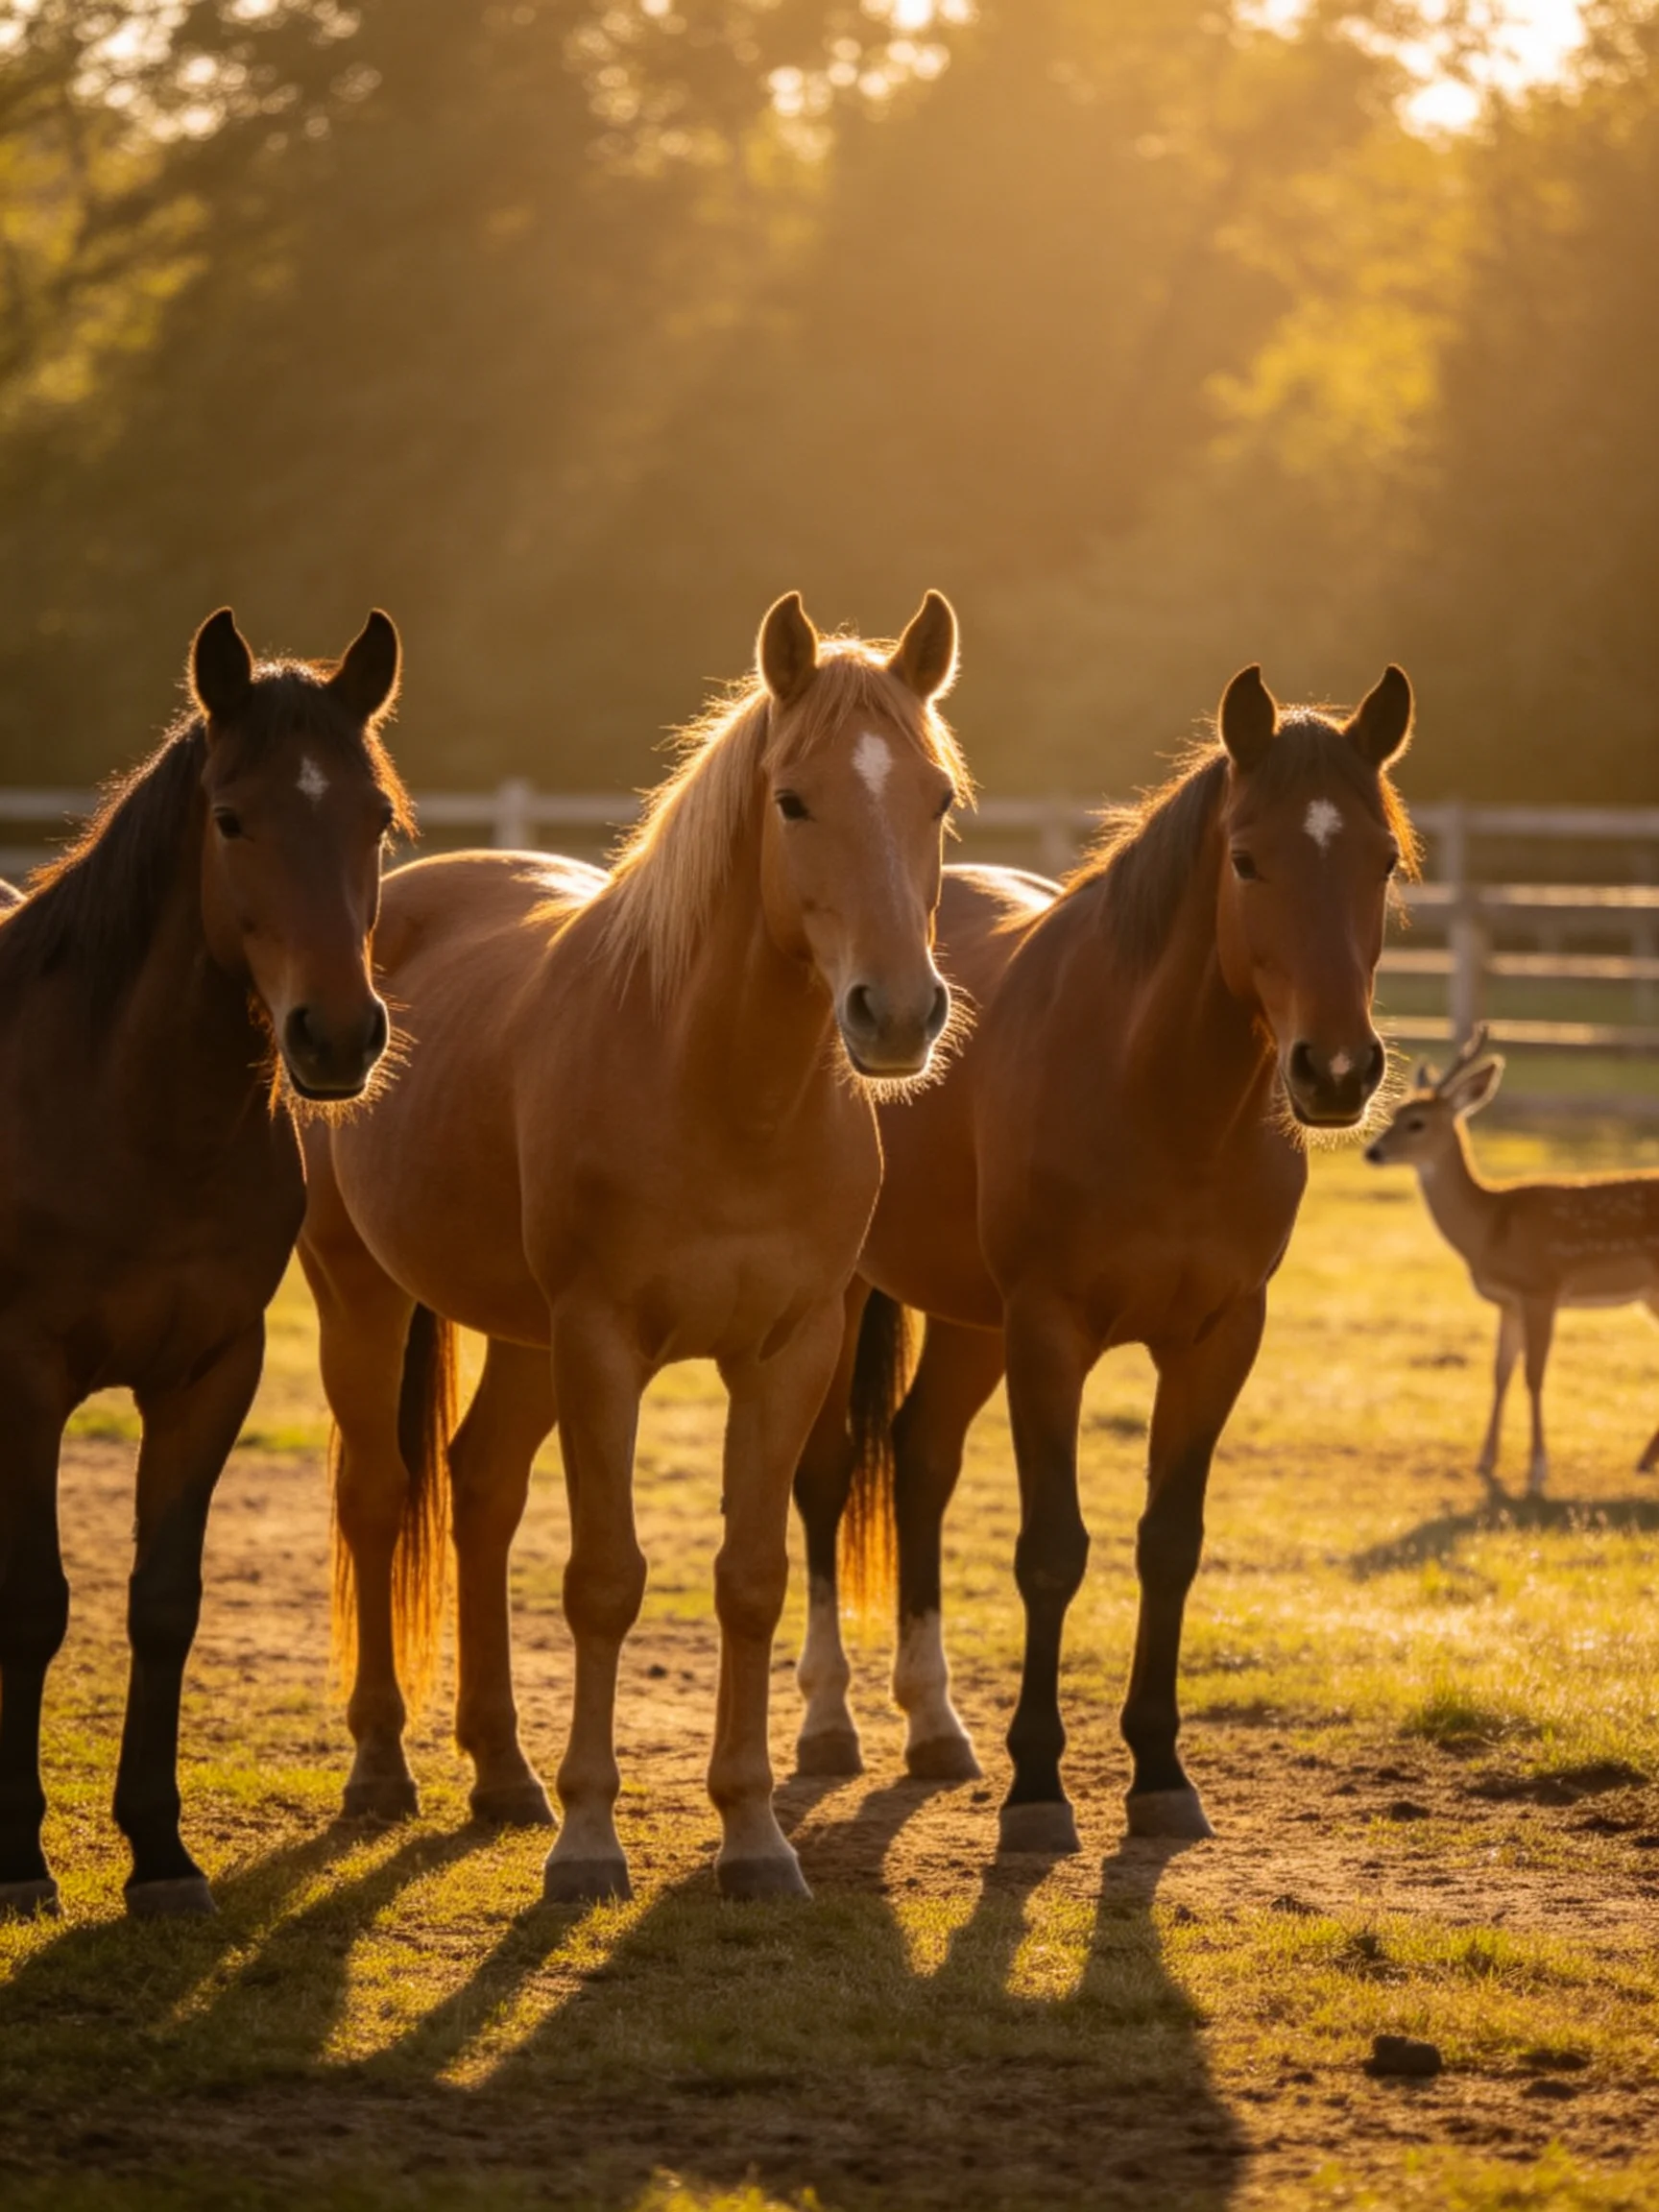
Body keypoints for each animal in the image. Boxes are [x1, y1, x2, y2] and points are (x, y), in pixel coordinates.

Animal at [0, 610, 406, 1918]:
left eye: (377, 819)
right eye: (232, 817)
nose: (337, 1035)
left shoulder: (211, 1375)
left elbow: (163, 1605)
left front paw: (162, 1854)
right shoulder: (25, 1377)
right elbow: (34, 1603)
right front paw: (18, 1858)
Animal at [298, 590, 967, 1903]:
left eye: (938, 799)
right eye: (792, 799)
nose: (900, 1015)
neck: (716, 1086)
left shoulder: (788, 1353)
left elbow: (751, 1580)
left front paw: (753, 1837)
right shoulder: (604, 1346)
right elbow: (605, 1581)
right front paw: (590, 1840)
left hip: (523, 1339)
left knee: (480, 1489)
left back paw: (502, 1774)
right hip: (362, 1294)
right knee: (378, 1496)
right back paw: (382, 1769)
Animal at [792, 664, 1418, 1851]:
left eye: (1384, 861)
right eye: (1247, 858)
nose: (1336, 1071)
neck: (1155, 1089)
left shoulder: (1219, 1339)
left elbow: (1169, 1543)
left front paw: (1162, 1775)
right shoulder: (1051, 1334)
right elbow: (1052, 1550)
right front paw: (1039, 1790)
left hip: (969, 1320)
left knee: (922, 1462)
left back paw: (935, 1726)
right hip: (847, 1299)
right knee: (825, 1476)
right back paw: (827, 1722)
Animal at [1365, 1028, 1659, 1496]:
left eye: (1417, 1122)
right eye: (1395, 1111)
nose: (1373, 1152)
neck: (1491, 1227)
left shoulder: (1542, 1287)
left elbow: (1533, 1375)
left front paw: (1538, 1469)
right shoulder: (1508, 1301)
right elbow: (1500, 1372)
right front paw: (1486, 1460)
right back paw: (1646, 1460)